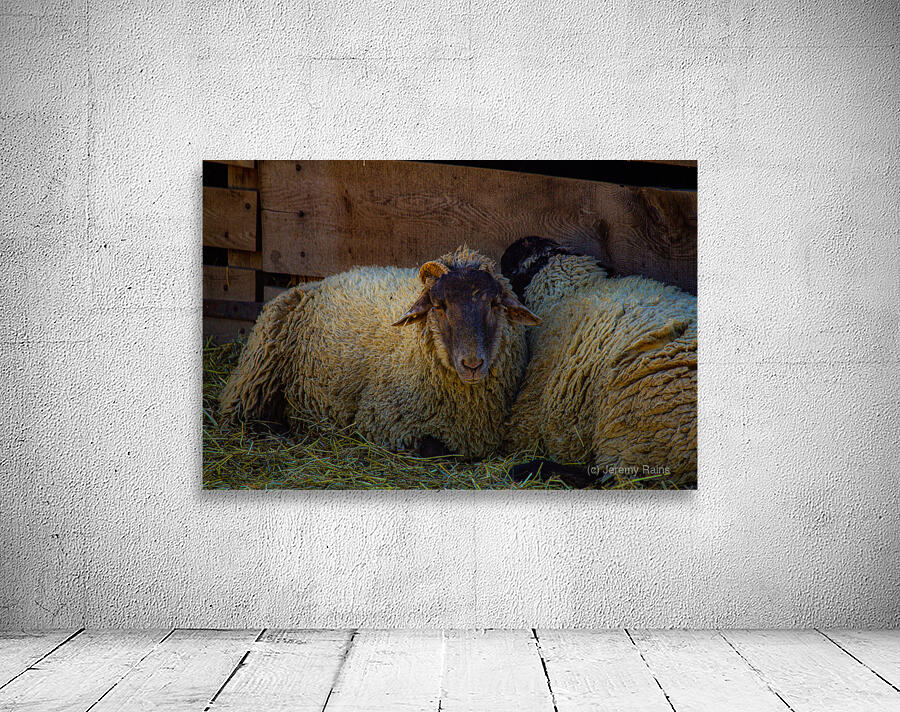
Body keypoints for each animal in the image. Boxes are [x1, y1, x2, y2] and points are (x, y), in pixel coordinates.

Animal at [219, 246, 541, 459]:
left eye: (494, 304)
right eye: (439, 306)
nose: (472, 364)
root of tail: (311, 284)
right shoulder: (384, 422)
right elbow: (435, 448)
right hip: (256, 376)